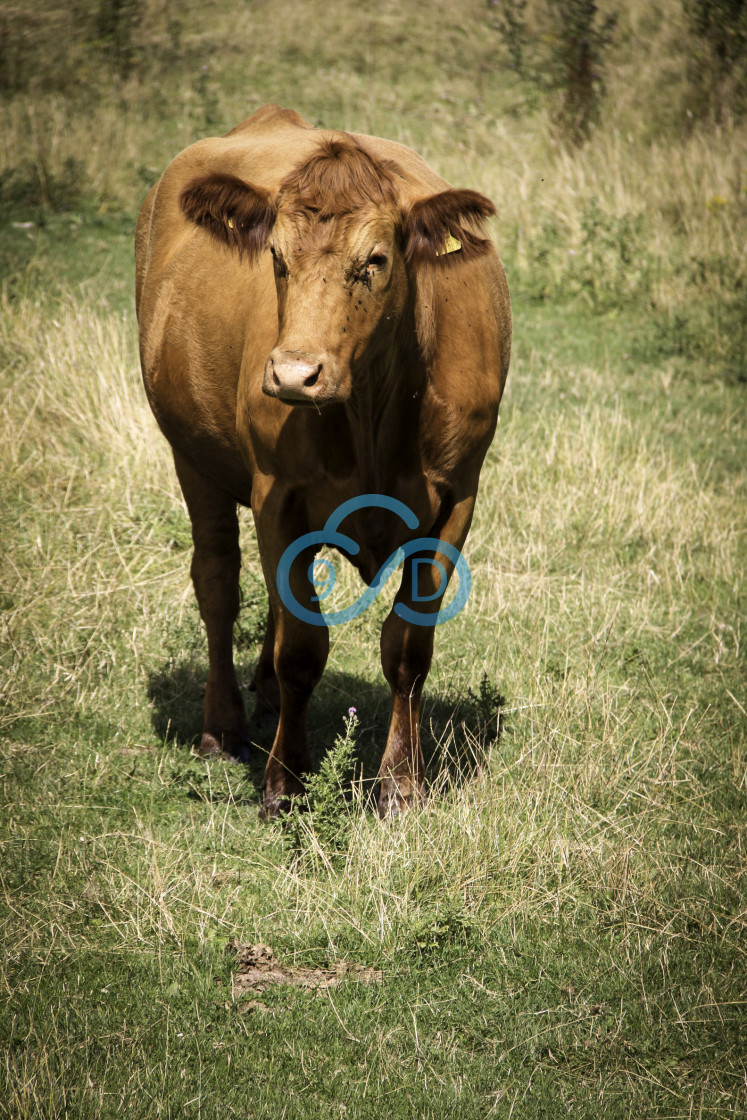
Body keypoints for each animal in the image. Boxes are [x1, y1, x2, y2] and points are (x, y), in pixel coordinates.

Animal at [134, 105, 510, 819]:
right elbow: (304, 650)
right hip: (192, 456)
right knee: (219, 584)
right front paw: (285, 783)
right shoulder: (279, 494)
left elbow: (407, 646)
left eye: (376, 261)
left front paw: (401, 783)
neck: (373, 411)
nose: (293, 374)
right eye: (276, 260)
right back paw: (223, 728)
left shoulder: (457, 499)